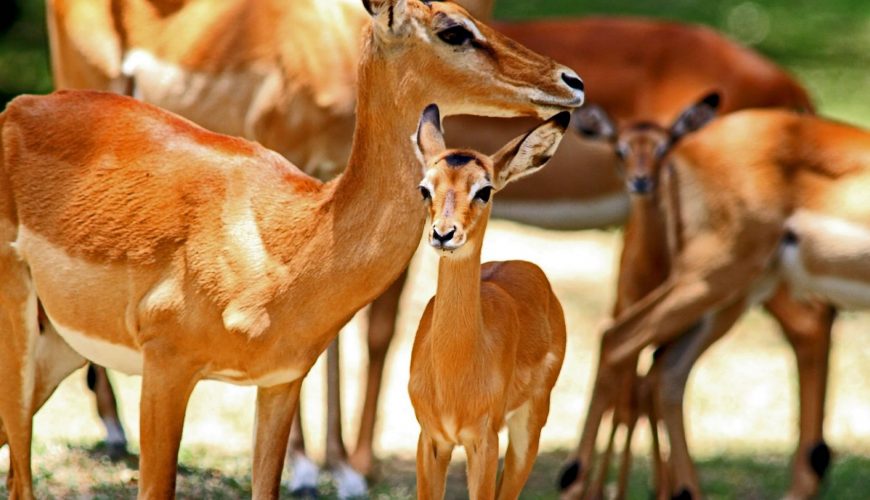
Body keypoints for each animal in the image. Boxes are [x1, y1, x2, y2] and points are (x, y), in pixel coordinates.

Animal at [409, 105, 567, 499]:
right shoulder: (431, 439)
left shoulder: (483, 441)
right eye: (425, 188)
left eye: (484, 190)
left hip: (529, 427)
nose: (444, 234)